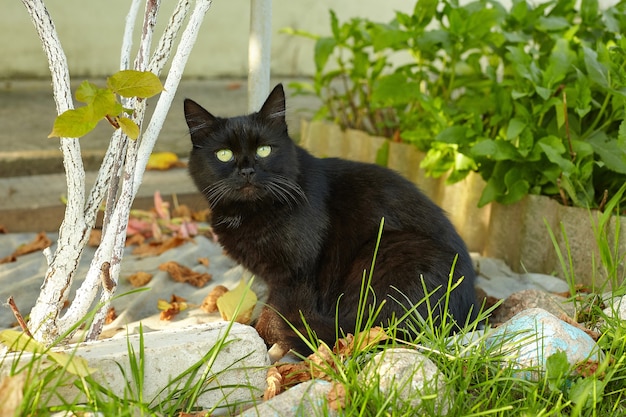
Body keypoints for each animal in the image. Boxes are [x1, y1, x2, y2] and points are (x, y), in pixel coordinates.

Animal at [184, 84, 478, 354]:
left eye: (264, 150)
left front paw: (267, 336)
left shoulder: (297, 273)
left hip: (388, 250)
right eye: (224, 154)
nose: (247, 170)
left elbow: (277, 311)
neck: (251, 212)